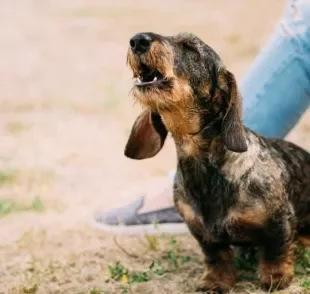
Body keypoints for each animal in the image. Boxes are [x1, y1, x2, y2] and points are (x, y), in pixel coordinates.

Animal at [123, 31, 310, 292]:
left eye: (191, 48)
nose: (138, 39)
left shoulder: (279, 221)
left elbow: (276, 249)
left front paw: (275, 275)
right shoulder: (202, 232)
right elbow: (216, 256)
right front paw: (216, 280)